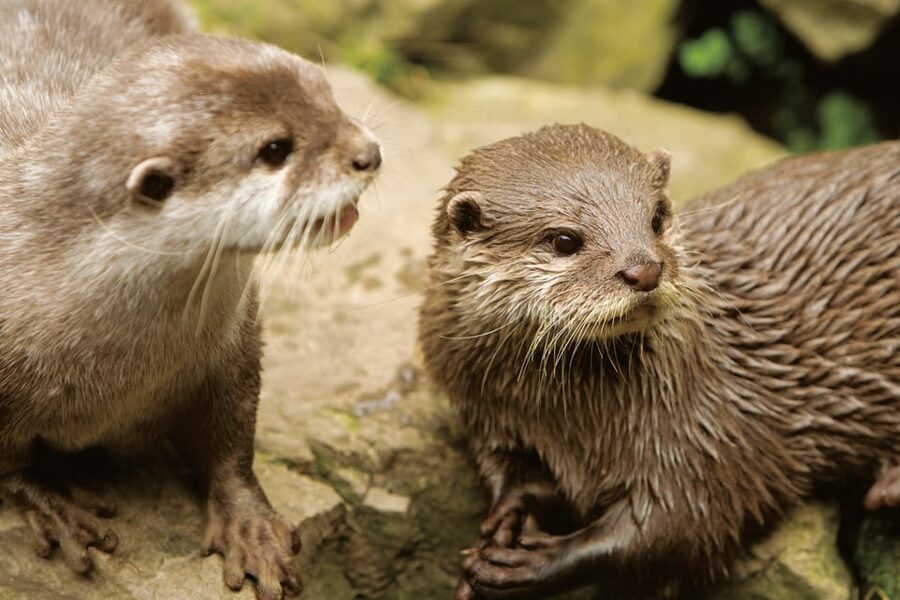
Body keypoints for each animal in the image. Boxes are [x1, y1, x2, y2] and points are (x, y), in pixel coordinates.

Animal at [0, 1, 380, 598]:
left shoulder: (232, 345)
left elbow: (231, 435)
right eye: (275, 149)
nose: (369, 152)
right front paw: (52, 503)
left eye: (327, 94)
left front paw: (249, 526)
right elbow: (8, 461)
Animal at [419, 124, 899, 599]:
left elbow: (680, 526)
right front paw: (506, 521)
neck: (569, 422)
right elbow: (515, 477)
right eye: (564, 240)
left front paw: (532, 564)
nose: (644, 270)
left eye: (656, 217)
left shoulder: (707, 428)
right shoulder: (487, 415)